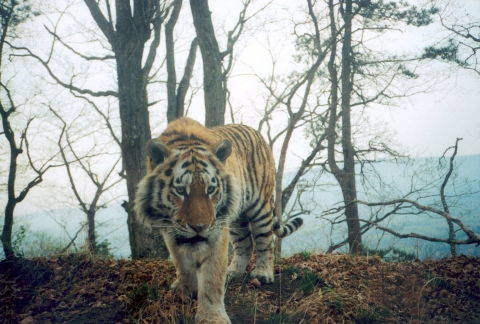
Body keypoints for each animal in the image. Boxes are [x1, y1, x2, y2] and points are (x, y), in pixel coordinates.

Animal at [133, 117, 302, 324]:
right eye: (180, 190)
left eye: (211, 189)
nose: (199, 227)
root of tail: (256, 132)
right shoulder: (170, 230)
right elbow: (181, 263)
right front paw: (185, 289)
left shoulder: (217, 231)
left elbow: (211, 277)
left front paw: (212, 317)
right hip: (237, 218)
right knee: (245, 244)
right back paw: (234, 271)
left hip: (260, 207)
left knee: (265, 242)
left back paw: (263, 273)